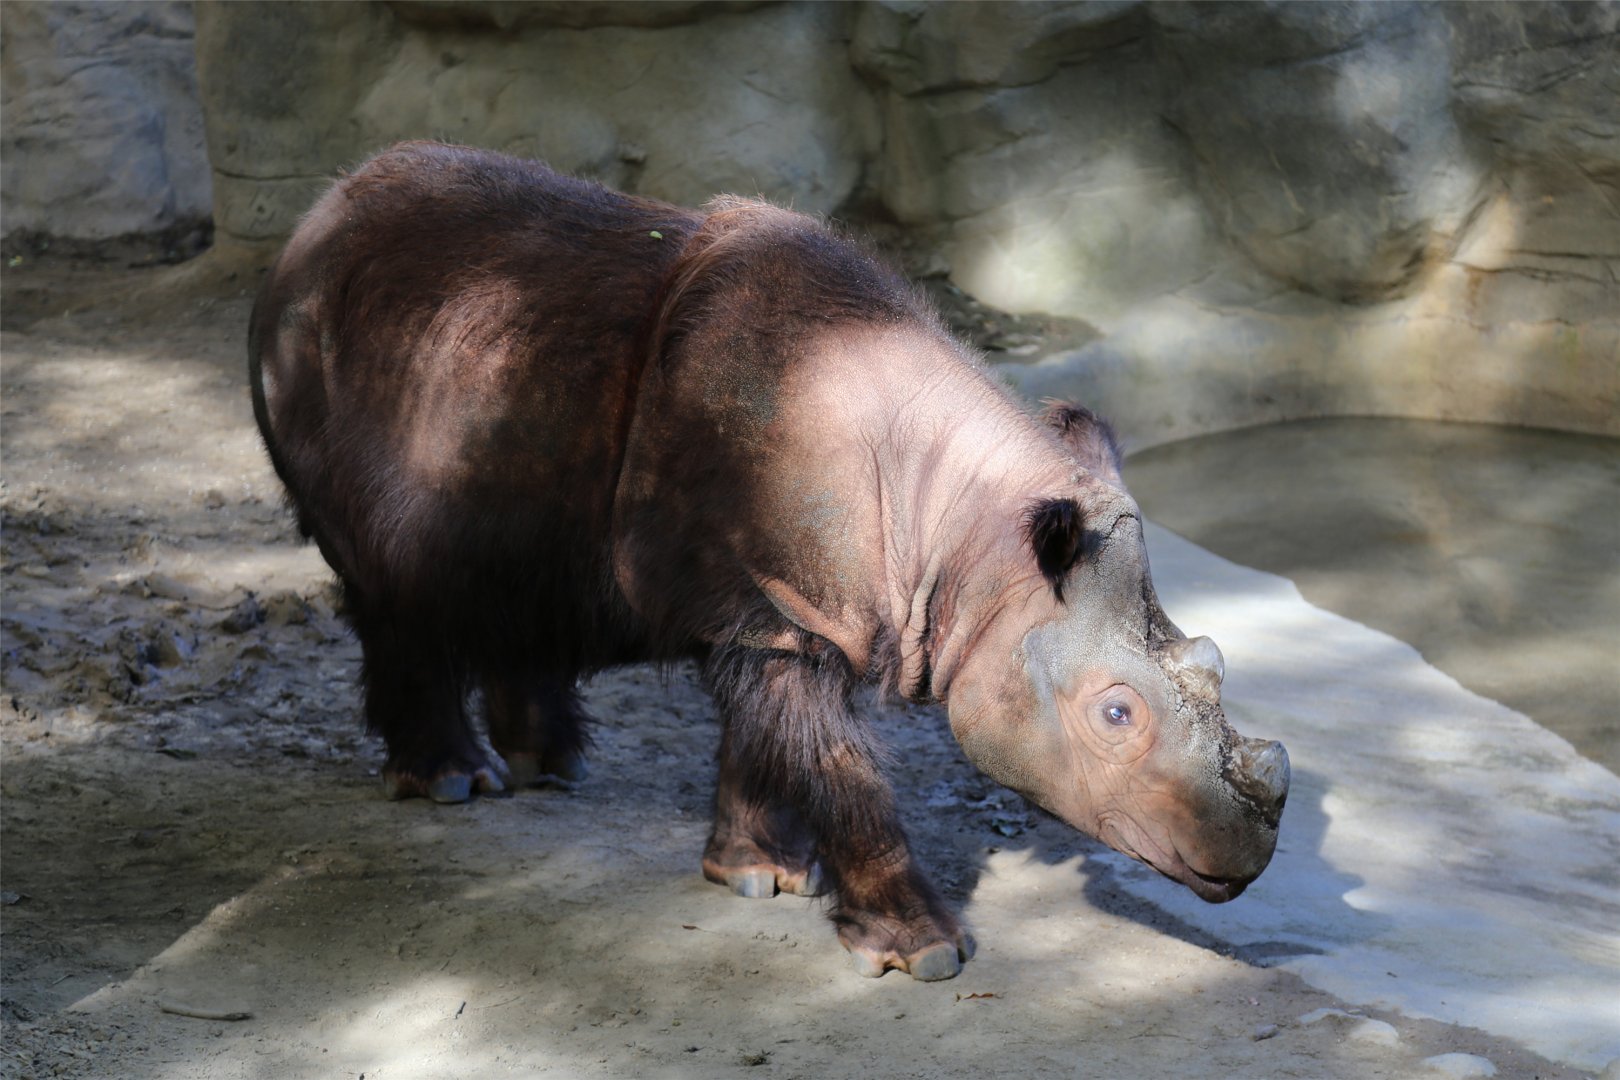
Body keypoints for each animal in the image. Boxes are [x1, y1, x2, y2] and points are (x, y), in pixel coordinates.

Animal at [249, 141, 1289, 981]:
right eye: (1117, 714)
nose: (1245, 859)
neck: (963, 539)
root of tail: (311, 220)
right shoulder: (765, 606)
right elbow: (838, 764)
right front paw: (927, 954)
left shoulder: (780, 606)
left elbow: (764, 743)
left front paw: (756, 875)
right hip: (319, 343)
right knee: (387, 585)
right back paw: (455, 785)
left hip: (480, 358)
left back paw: (551, 767)